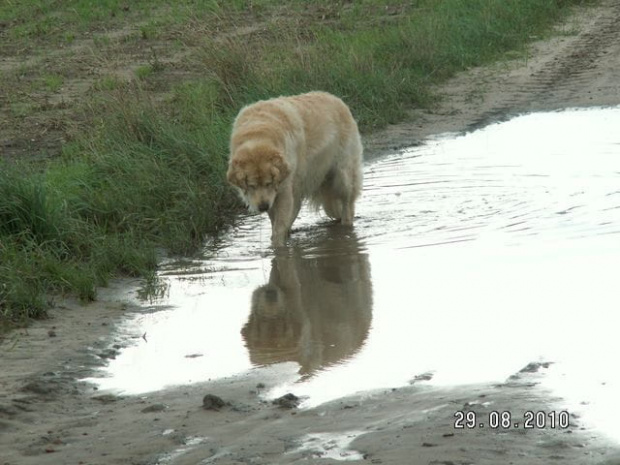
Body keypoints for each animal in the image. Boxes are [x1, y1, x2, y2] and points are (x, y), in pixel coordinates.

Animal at [226, 88, 364, 245]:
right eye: (251, 185)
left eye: (268, 183)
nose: (263, 207)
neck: (257, 133)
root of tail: (337, 99)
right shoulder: (273, 196)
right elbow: (276, 220)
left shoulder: (282, 190)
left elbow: (279, 226)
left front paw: (278, 247)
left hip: (342, 175)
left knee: (347, 202)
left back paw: (346, 227)